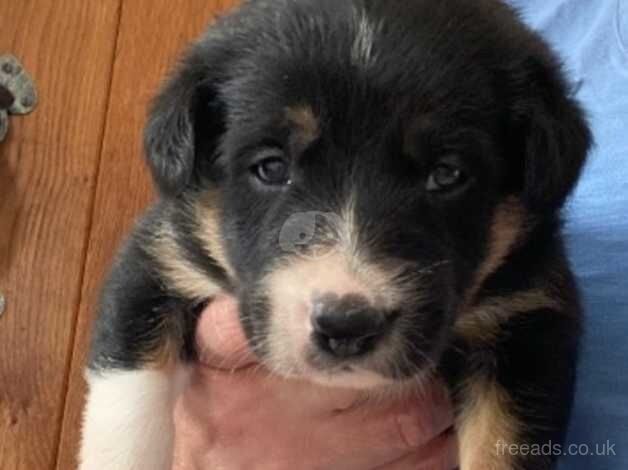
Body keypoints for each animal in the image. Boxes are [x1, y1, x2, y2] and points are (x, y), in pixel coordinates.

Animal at [77, 0, 588, 470]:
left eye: (446, 174)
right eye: (271, 167)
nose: (347, 325)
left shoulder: (527, 326)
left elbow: (501, 448)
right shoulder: (160, 253)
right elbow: (128, 404)